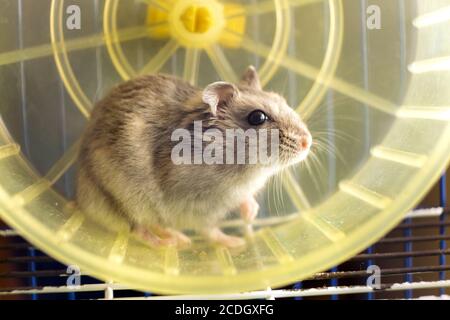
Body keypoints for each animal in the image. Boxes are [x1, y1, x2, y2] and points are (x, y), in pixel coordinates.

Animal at [75, 67, 312, 248]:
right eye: (258, 117)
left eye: (283, 101)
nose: (307, 142)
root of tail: (79, 202)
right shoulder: (197, 206)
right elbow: (209, 230)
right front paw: (237, 243)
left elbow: (244, 200)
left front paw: (251, 214)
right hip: (123, 199)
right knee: (138, 229)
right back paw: (175, 242)